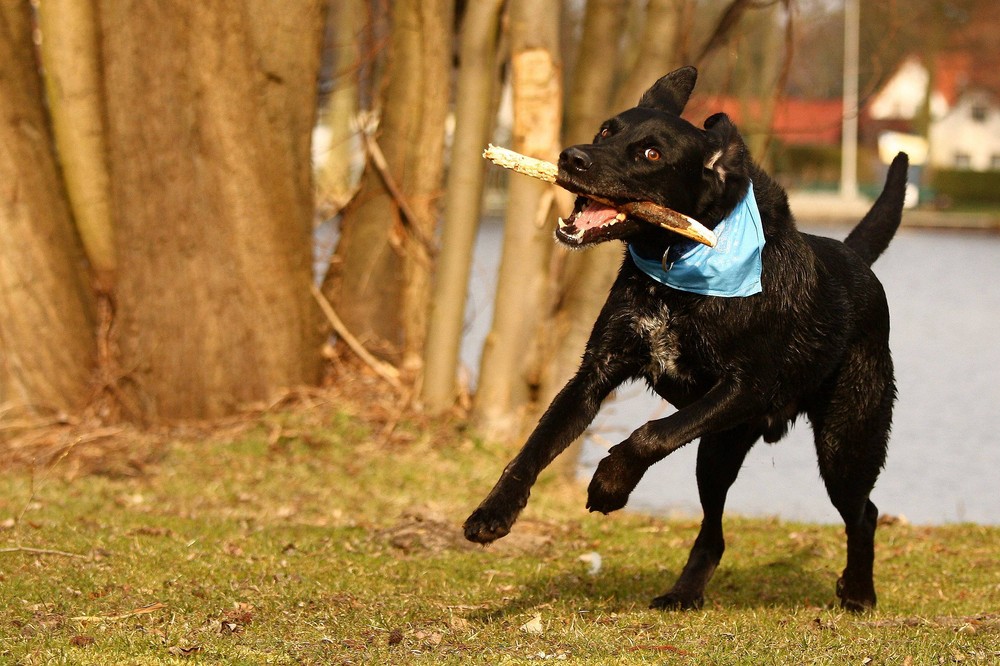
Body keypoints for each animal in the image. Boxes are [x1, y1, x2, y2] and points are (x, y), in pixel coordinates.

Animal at [464, 65, 912, 608]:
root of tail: (855, 258)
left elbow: (650, 433)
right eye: (606, 131)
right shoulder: (596, 371)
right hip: (718, 450)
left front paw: (609, 484)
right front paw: (493, 511)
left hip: (845, 442)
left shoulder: (746, 388)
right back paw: (684, 592)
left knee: (863, 513)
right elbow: (536, 444)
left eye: (652, 155)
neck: (673, 268)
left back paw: (859, 594)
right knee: (713, 531)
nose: (571, 156)